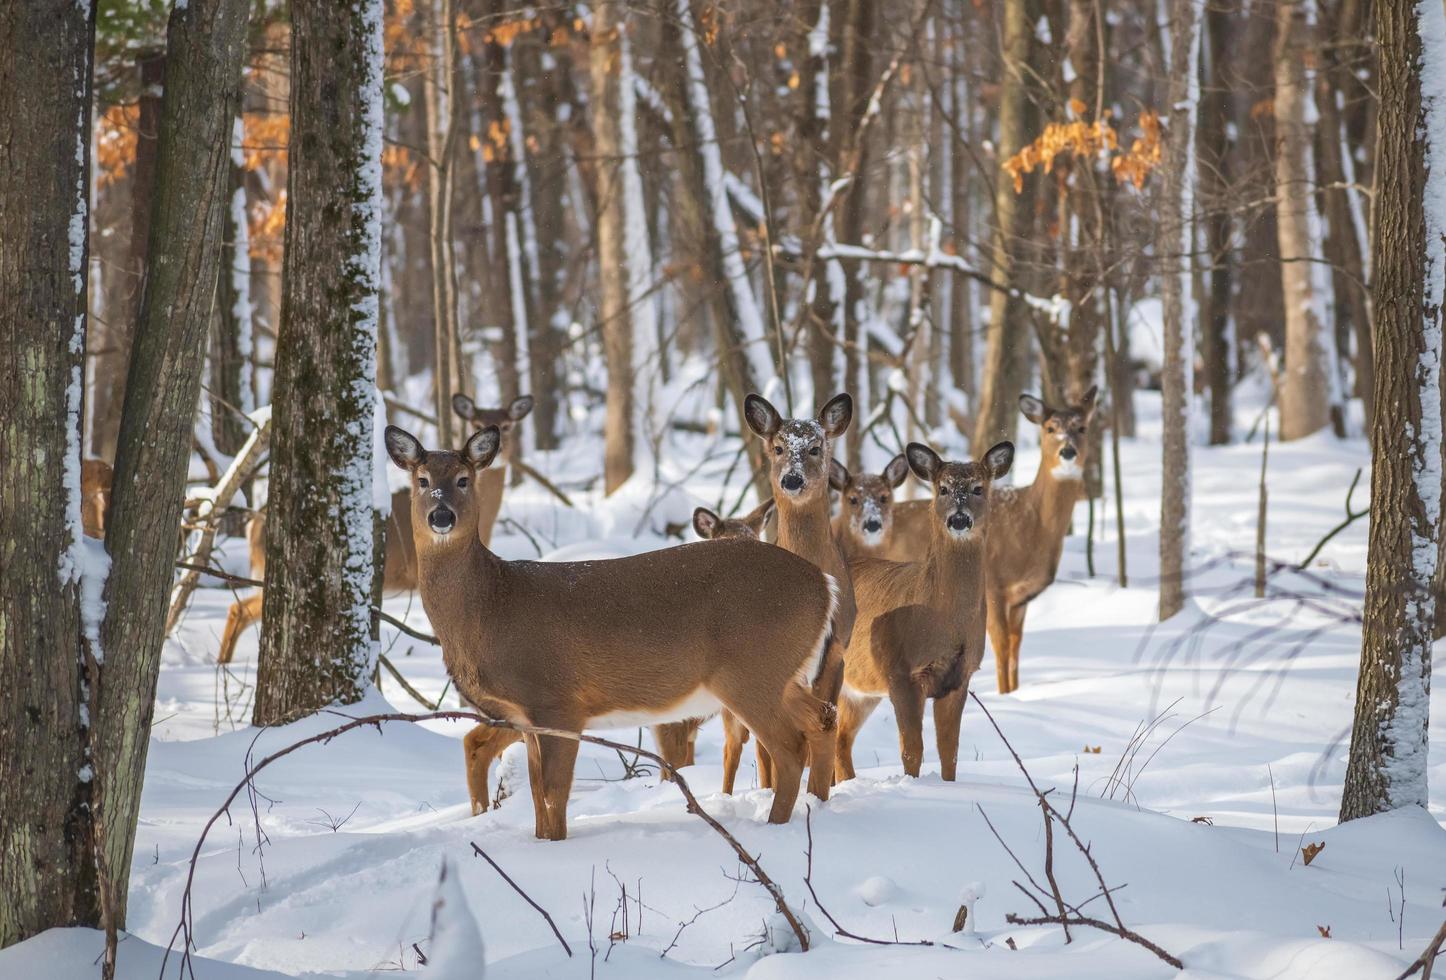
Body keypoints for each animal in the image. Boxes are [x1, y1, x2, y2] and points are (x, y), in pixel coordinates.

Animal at [384, 424, 844, 838]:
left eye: (464, 479)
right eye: (422, 480)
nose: (441, 515)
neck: (491, 606)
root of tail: (825, 585)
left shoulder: (557, 702)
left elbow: (552, 794)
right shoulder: (525, 717)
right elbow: (535, 797)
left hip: (752, 672)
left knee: (789, 747)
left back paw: (775, 828)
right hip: (783, 677)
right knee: (823, 720)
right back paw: (816, 806)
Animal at [832, 442, 1012, 786]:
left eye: (978, 488)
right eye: (942, 488)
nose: (958, 518)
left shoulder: (959, 677)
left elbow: (949, 749)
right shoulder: (900, 670)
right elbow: (912, 749)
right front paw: (912, 786)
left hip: (858, 691)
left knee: (839, 738)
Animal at [879, 390, 1093, 699]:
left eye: (1082, 428)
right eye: (1050, 428)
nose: (1068, 451)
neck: (1031, 526)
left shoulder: (1020, 598)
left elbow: (1015, 648)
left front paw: (1015, 692)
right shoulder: (994, 586)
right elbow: (1001, 648)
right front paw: (1005, 695)